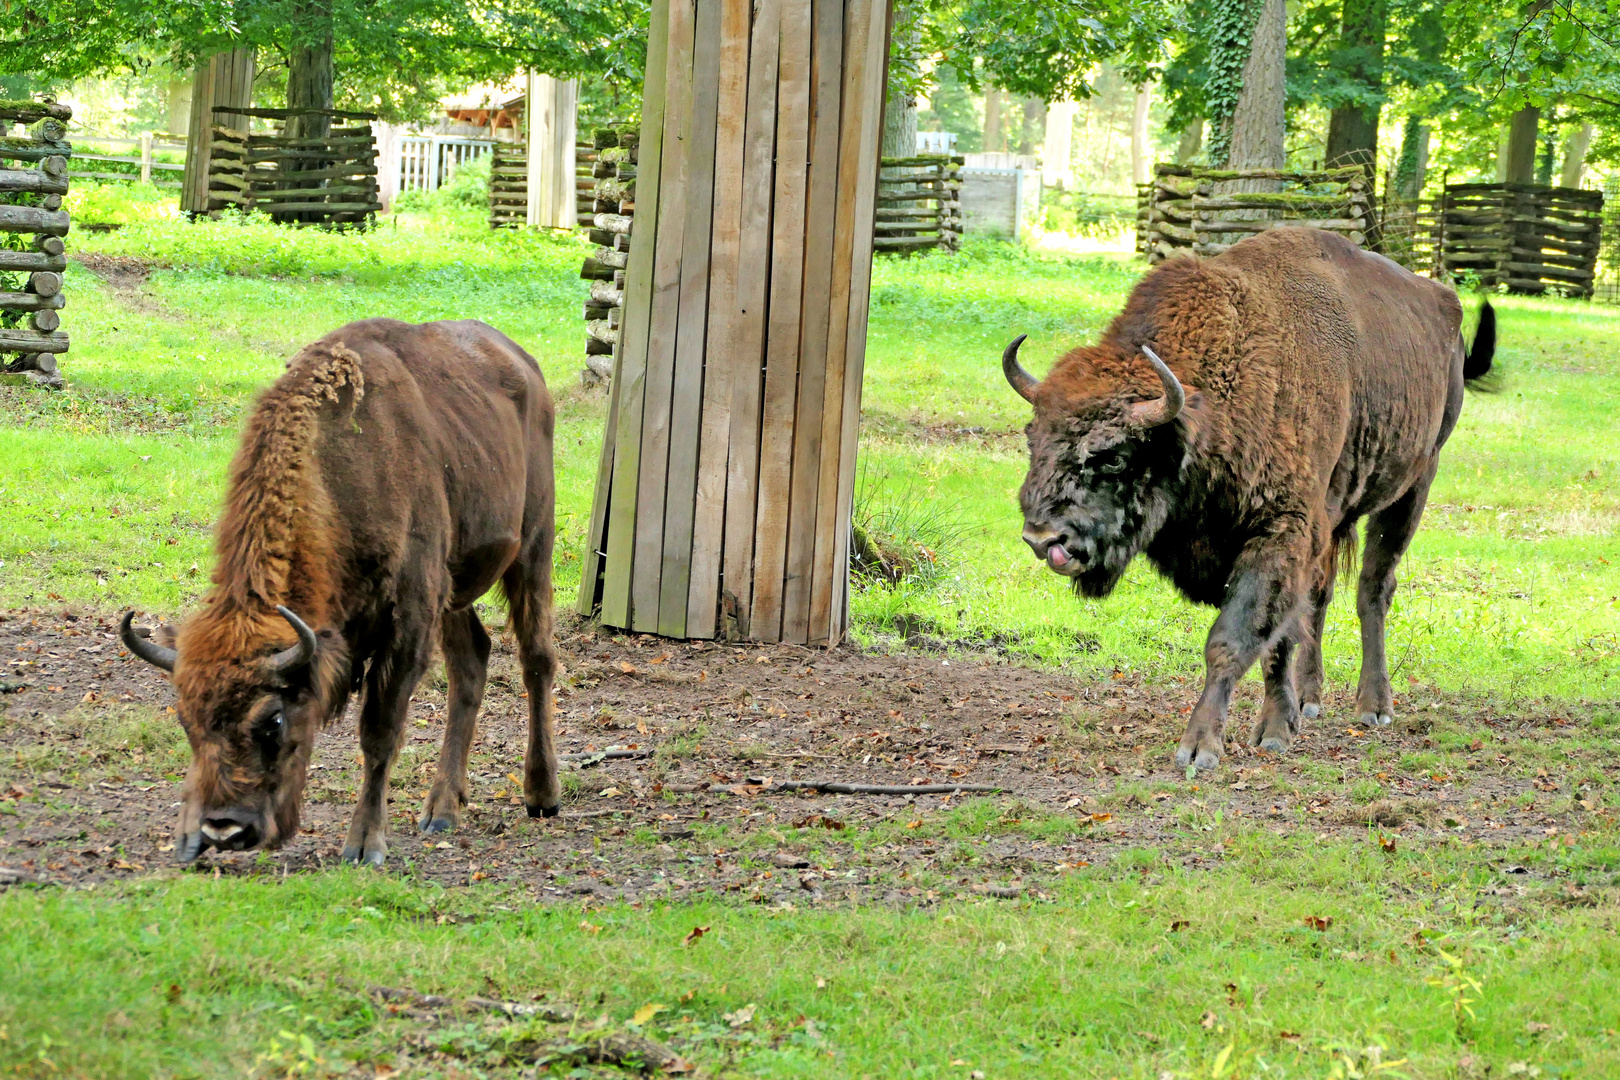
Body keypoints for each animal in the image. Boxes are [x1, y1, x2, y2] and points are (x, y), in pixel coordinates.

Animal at [121, 317, 563, 867]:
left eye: (273, 721)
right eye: (185, 718)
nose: (225, 829)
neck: (337, 473)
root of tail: (525, 364)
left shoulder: (408, 619)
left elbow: (379, 731)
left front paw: (364, 844)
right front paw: (186, 834)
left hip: (532, 550)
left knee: (536, 659)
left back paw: (541, 794)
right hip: (455, 585)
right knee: (471, 661)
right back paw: (441, 809)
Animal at [1004, 228, 1496, 773]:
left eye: (1113, 456)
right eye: (1032, 439)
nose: (1041, 536)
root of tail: (1445, 308)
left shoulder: (1281, 530)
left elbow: (1235, 637)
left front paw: (1207, 746)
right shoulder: (1290, 533)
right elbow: (1282, 631)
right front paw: (1283, 722)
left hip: (1414, 485)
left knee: (1374, 588)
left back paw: (1374, 706)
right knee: (1320, 598)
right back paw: (1312, 698)